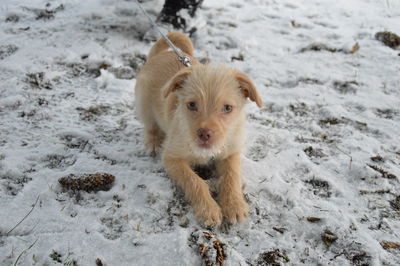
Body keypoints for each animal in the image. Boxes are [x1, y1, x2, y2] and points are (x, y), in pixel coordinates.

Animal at [136, 31, 264, 227]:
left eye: (227, 108)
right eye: (191, 105)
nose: (205, 134)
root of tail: (160, 55)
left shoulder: (231, 152)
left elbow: (232, 177)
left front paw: (234, 204)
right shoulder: (172, 158)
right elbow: (194, 181)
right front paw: (209, 210)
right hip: (144, 105)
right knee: (150, 126)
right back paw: (153, 143)